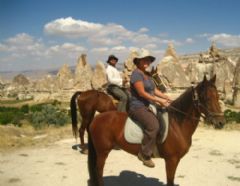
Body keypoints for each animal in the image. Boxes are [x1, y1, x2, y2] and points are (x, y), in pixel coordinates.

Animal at [87, 75, 225, 185]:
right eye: (206, 98)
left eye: (218, 96)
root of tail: (97, 119)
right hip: (103, 151)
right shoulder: (171, 160)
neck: (177, 124)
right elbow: (170, 180)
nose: (221, 122)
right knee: (98, 171)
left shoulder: (175, 160)